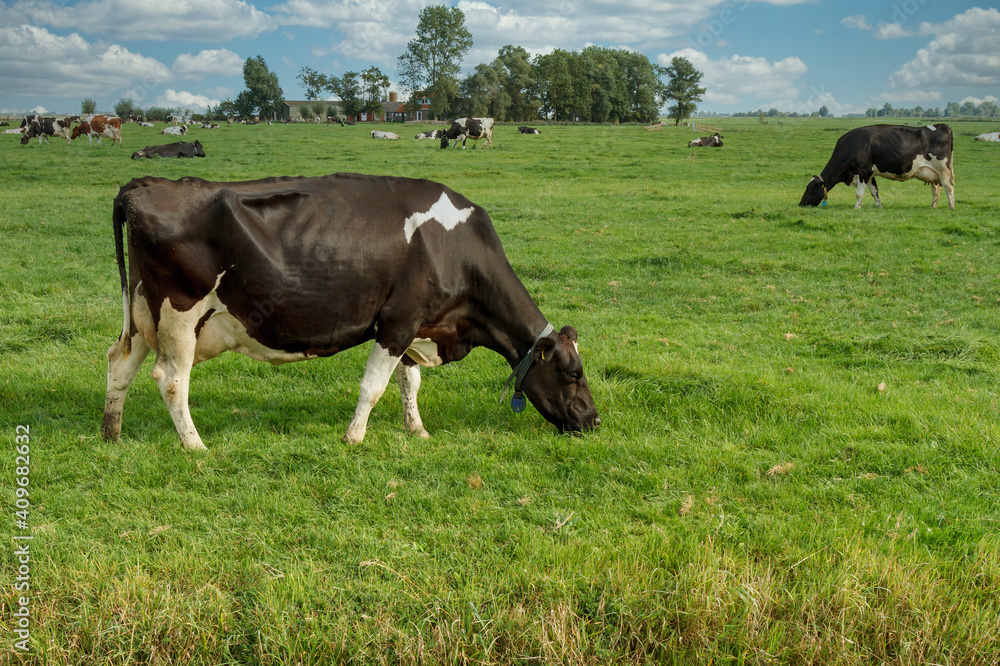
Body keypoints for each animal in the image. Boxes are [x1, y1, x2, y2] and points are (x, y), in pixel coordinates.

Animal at [102, 174, 600, 448]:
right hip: (179, 315)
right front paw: (354, 437)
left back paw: (111, 432)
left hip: (143, 315)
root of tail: (146, 185)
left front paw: (416, 430)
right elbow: (374, 386)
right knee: (171, 380)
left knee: (119, 363)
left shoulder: (415, 325)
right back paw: (195, 445)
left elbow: (409, 383)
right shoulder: (398, 322)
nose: (594, 421)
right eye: (572, 373)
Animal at [800, 122, 956, 209]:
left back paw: (951, 207)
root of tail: (944, 126)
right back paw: (932, 206)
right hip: (933, 173)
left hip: (943, 169)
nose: (800, 204)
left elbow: (859, 193)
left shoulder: (863, 171)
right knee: (936, 189)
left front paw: (856, 207)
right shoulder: (870, 174)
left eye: (810, 189)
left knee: (948, 187)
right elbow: (874, 191)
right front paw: (878, 206)